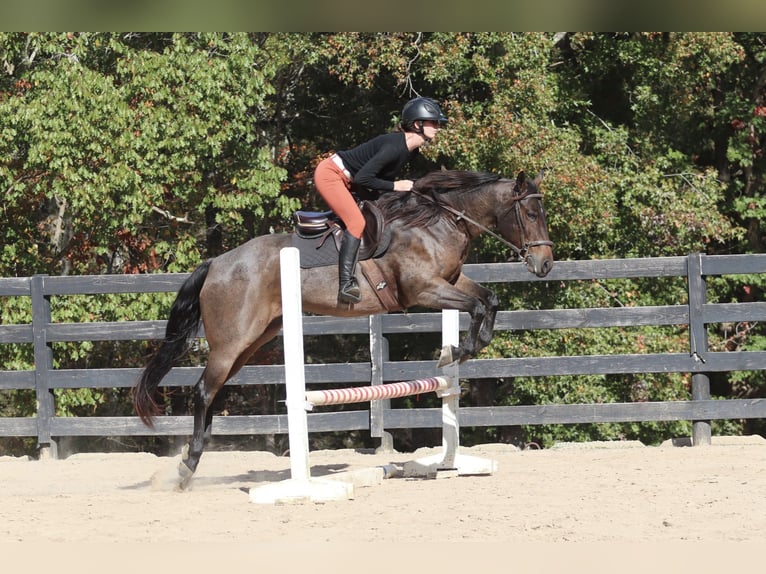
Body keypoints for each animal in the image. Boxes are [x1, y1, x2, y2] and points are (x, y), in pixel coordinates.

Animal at [132, 171, 552, 490]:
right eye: (531, 213)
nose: (545, 264)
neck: (438, 222)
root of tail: (216, 263)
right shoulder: (423, 290)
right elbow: (479, 305)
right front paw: (459, 351)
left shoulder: (451, 282)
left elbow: (489, 299)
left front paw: (460, 351)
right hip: (232, 340)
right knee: (203, 390)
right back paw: (187, 467)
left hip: (253, 340)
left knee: (212, 390)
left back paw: (192, 457)